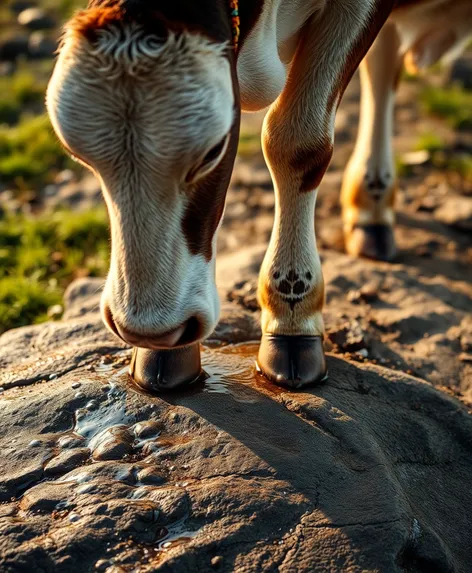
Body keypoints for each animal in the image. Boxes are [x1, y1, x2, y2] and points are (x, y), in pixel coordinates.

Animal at [47, 0, 468, 388]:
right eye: (75, 153)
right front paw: (165, 354)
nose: (151, 330)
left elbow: (300, 142)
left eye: (215, 150)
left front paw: (292, 316)